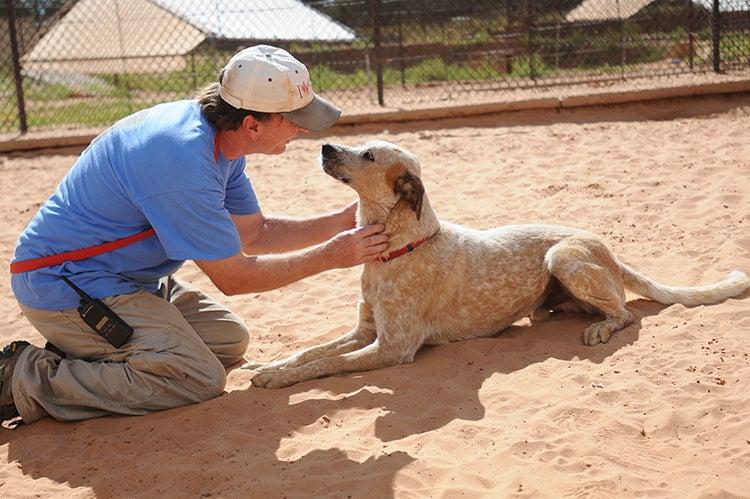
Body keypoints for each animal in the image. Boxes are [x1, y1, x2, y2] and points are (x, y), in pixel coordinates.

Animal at [244, 141, 748, 390]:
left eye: (368, 155)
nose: (325, 145)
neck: (401, 248)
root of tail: (606, 248)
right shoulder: (365, 331)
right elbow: (311, 352)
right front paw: (271, 364)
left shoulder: (393, 347)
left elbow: (326, 365)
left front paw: (278, 378)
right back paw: (563, 310)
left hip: (564, 255)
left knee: (624, 312)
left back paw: (601, 327)